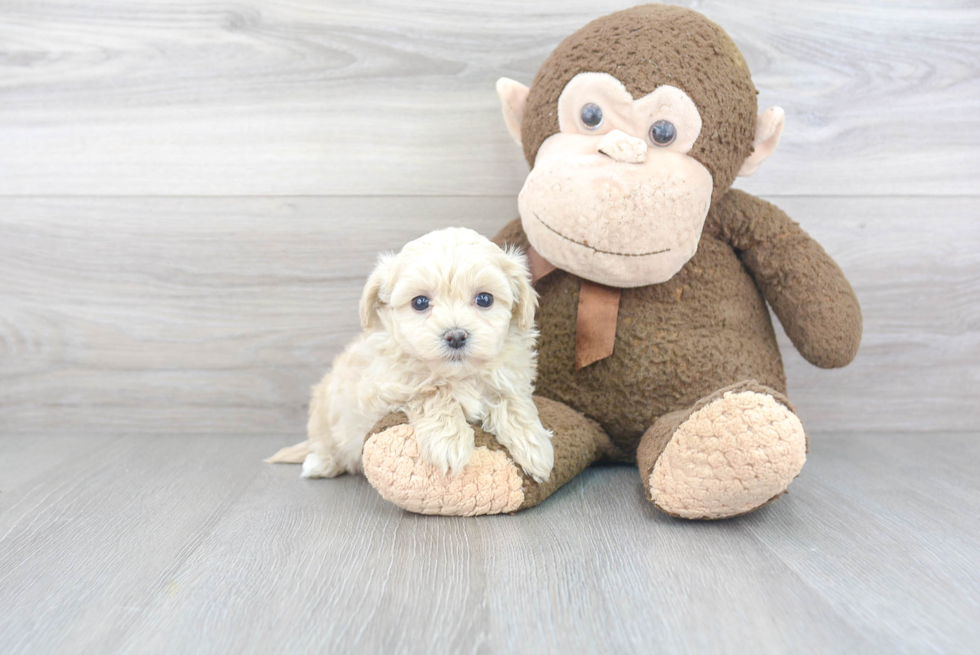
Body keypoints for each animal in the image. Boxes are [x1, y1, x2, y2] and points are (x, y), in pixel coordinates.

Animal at [302, 228, 556, 484]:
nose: (456, 336)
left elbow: (512, 402)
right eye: (420, 302)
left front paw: (535, 447)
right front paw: (449, 443)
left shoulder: (510, 376)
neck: (459, 375)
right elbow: (433, 393)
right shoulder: (387, 388)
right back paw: (319, 464)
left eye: (484, 299)